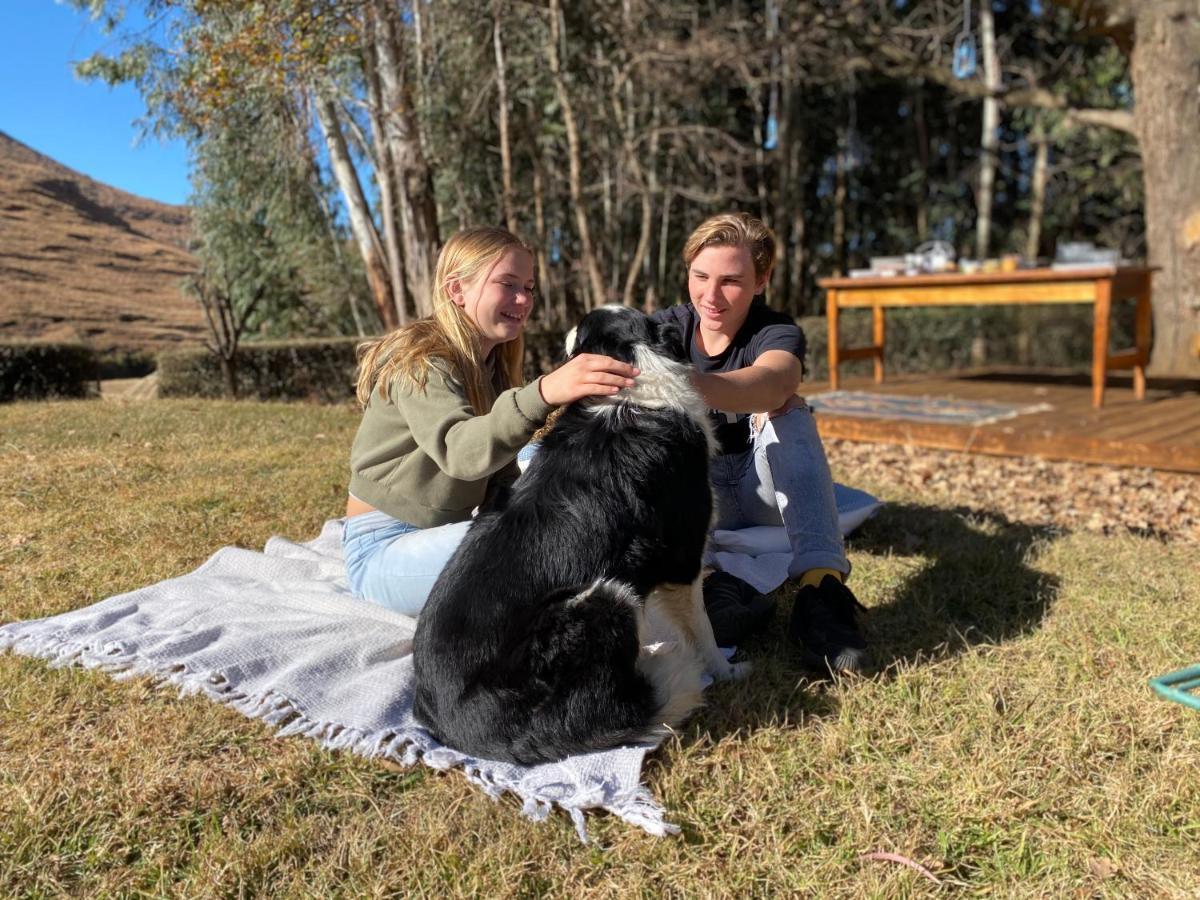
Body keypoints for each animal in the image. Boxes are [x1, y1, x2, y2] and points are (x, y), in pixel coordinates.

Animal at [415, 307, 748, 763]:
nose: (568, 326)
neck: (631, 371)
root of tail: (464, 727)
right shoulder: (684, 556)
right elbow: (704, 630)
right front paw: (727, 671)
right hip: (606, 597)